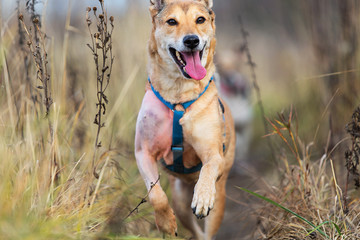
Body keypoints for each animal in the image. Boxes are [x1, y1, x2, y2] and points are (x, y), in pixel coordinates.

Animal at [135, 0, 236, 239]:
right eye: (172, 21)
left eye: (200, 19)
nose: (191, 40)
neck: (178, 98)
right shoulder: (143, 152)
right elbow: (156, 195)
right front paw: (165, 223)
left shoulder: (212, 153)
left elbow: (209, 167)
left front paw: (202, 197)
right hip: (180, 200)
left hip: (220, 199)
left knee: (207, 232)